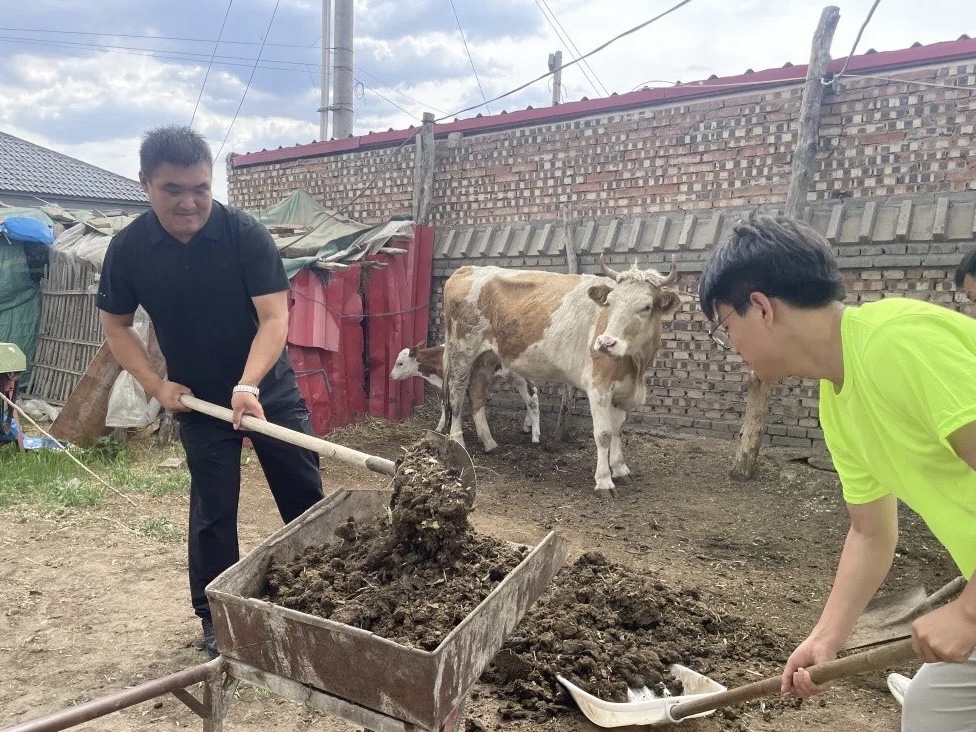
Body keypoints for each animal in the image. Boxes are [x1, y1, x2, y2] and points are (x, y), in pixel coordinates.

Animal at [388, 340, 540, 448]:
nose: (391, 376)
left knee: (532, 399)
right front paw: (442, 427)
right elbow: (444, 404)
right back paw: (527, 426)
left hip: (518, 377)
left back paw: (535, 436)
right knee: (533, 394)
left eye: (400, 363)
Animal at [442, 258, 680, 498]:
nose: (605, 343)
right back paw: (458, 441)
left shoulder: (623, 390)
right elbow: (603, 433)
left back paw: (489, 441)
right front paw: (604, 481)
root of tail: (468, 269)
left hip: (487, 357)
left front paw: (620, 469)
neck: (635, 366)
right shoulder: (599, 387)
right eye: (610, 303)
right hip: (462, 350)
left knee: (477, 394)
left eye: (647, 306)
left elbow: (617, 430)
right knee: (456, 394)